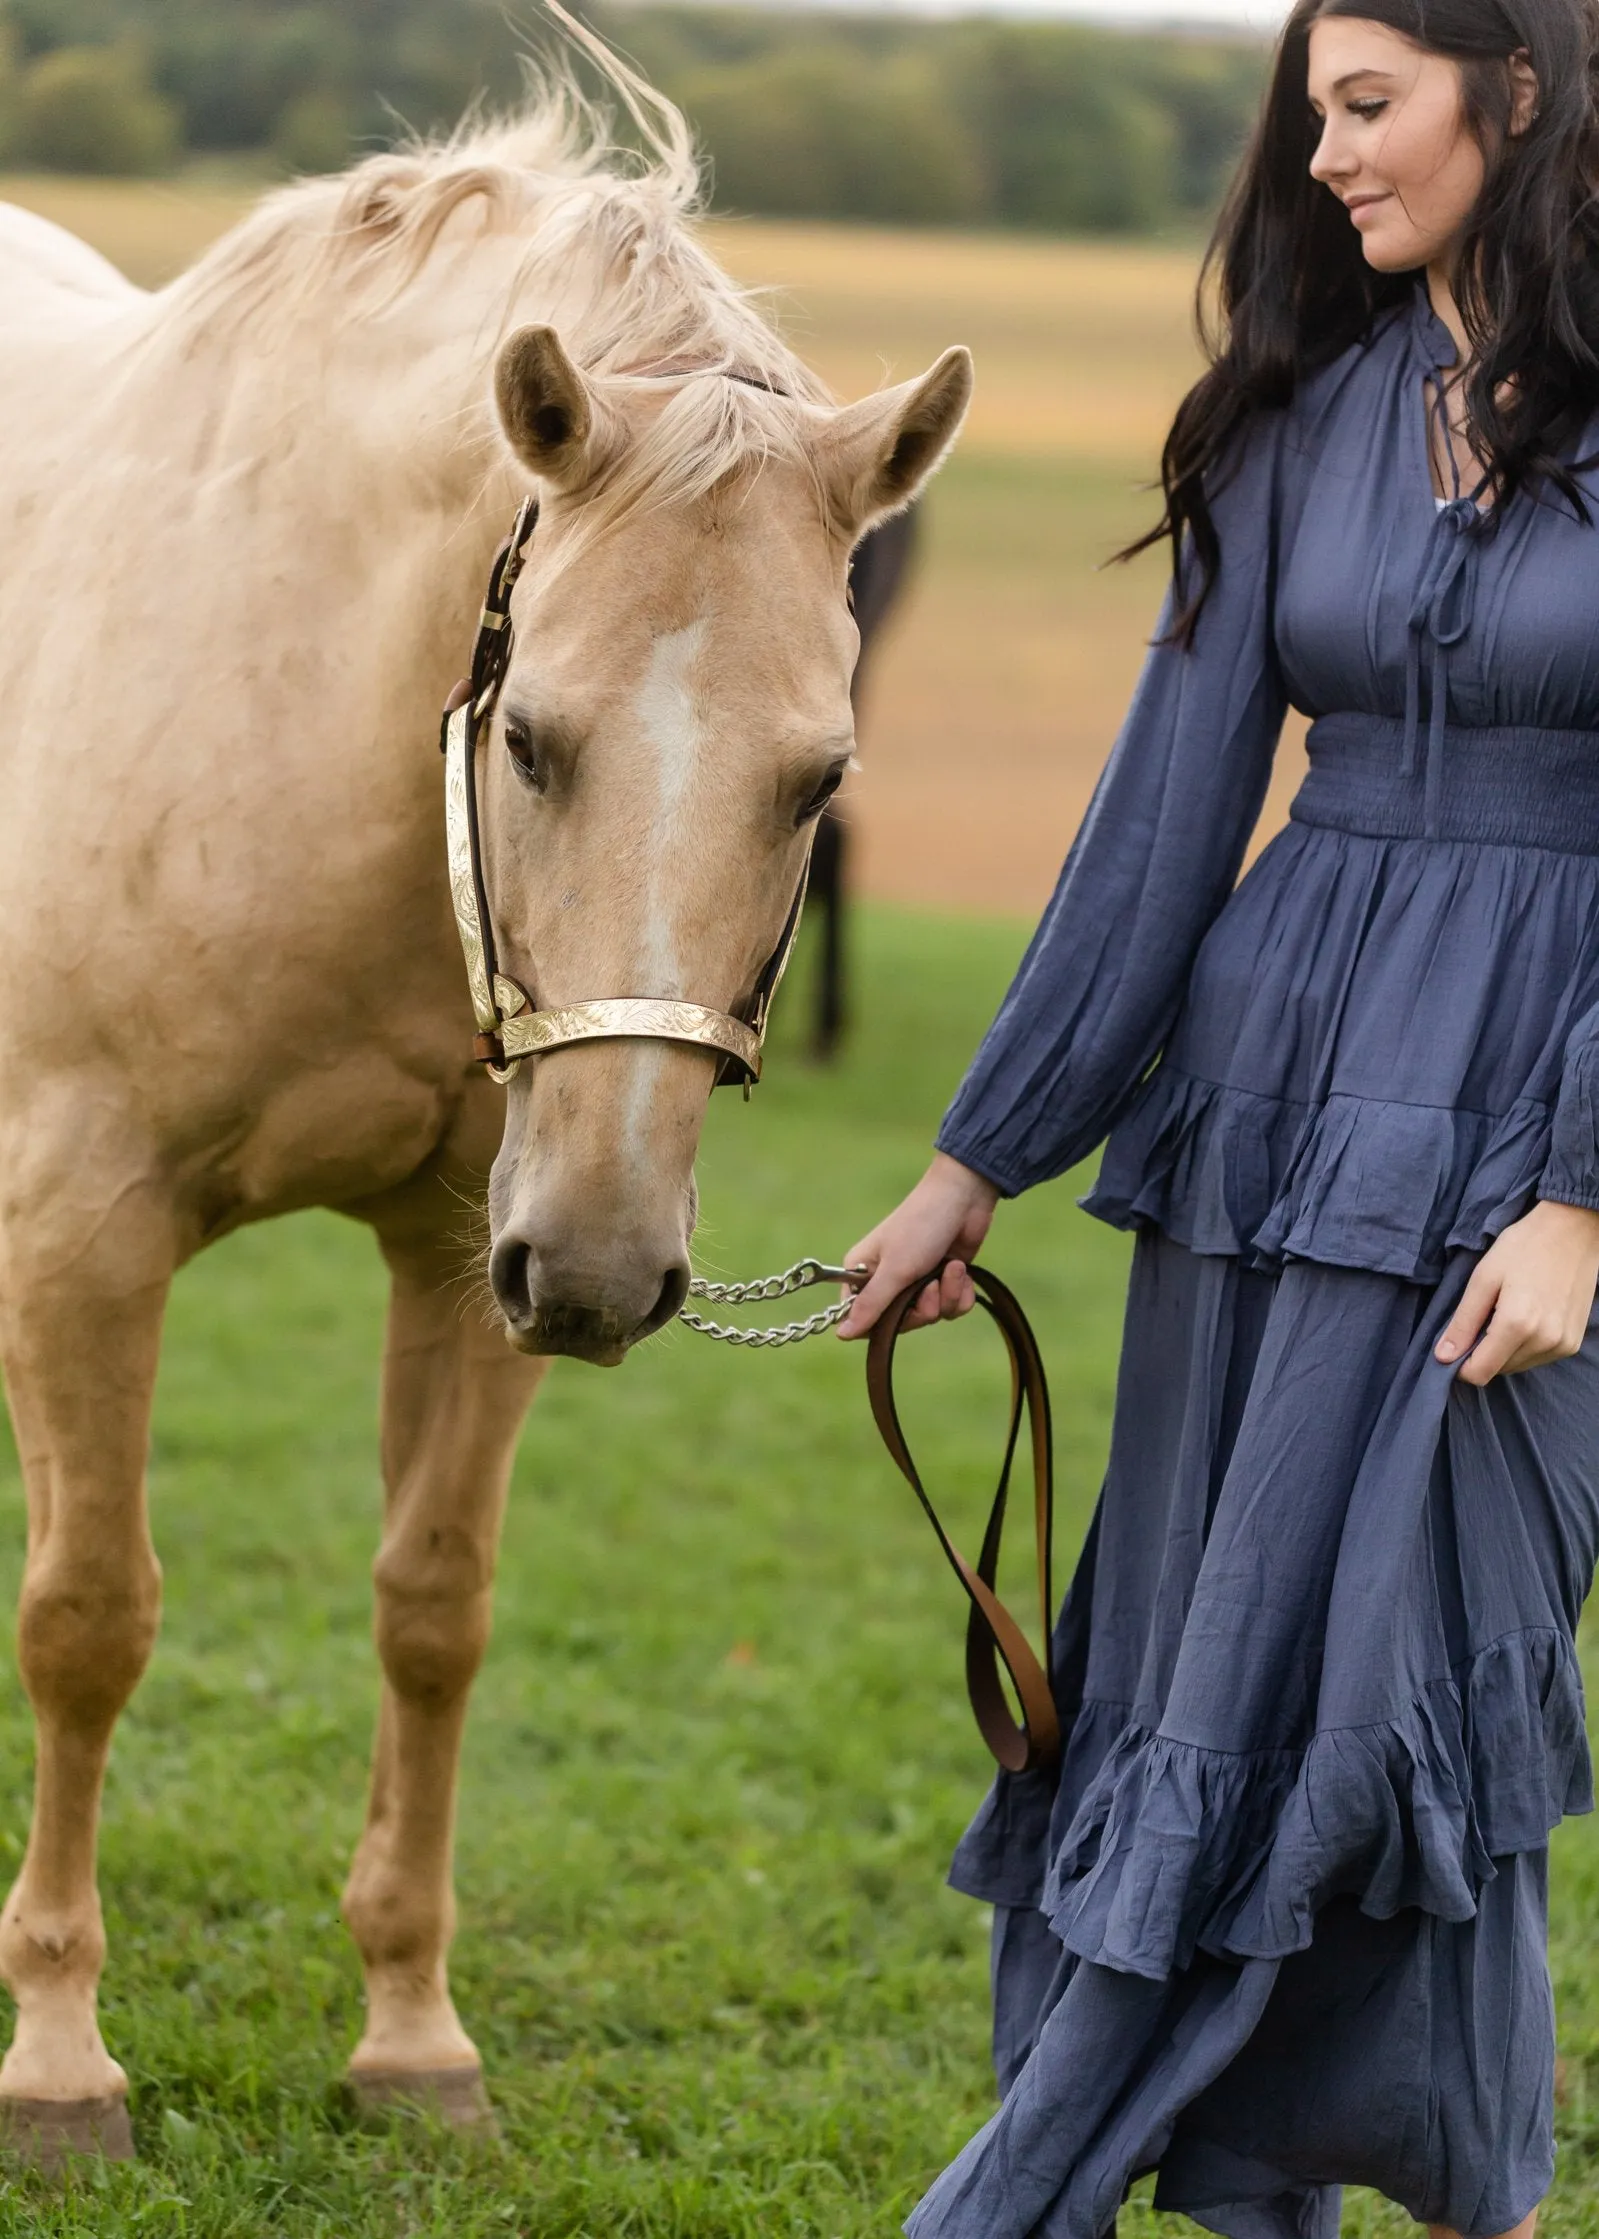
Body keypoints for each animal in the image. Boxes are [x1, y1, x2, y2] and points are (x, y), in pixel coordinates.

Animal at [0, 48, 967, 2149]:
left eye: (817, 776)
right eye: (529, 735)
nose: (606, 1272)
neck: (296, 696)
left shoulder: (473, 1244)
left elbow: (431, 1608)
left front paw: (409, 2032)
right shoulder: (83, 1231)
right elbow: (90, 1613)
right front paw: (55, 2051)